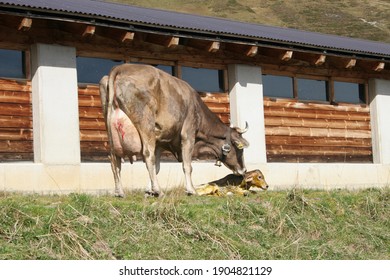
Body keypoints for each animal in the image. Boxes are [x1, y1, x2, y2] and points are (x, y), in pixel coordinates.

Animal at [103, 63, 250, 197]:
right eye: (240, 149)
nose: (244, 170)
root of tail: (122, 67)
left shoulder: (160, 142)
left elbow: (157, 167)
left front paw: (149, 190)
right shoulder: (188, 134)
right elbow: (187, 165)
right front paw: (191, 190)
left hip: (110, 127)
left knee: (114, 159)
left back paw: (119, 192)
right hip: (145, 122)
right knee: (147, 154)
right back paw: (159, 191)